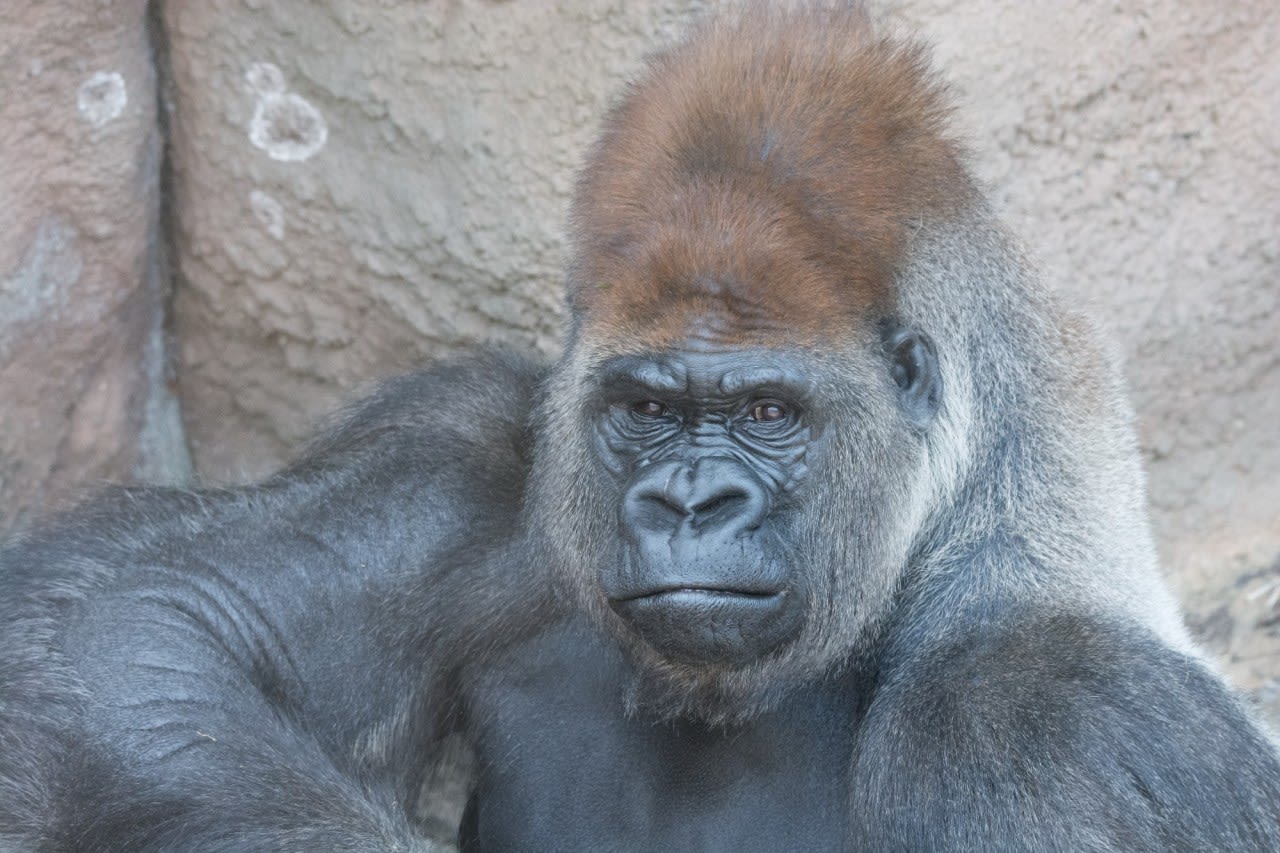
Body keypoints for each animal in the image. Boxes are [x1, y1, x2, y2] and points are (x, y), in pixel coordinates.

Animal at [2, 3, 1280, 845]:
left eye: (766, 411)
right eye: (649, 411)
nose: (685, 501)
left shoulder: (1037, 725)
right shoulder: (477, 448)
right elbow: (136, 618)